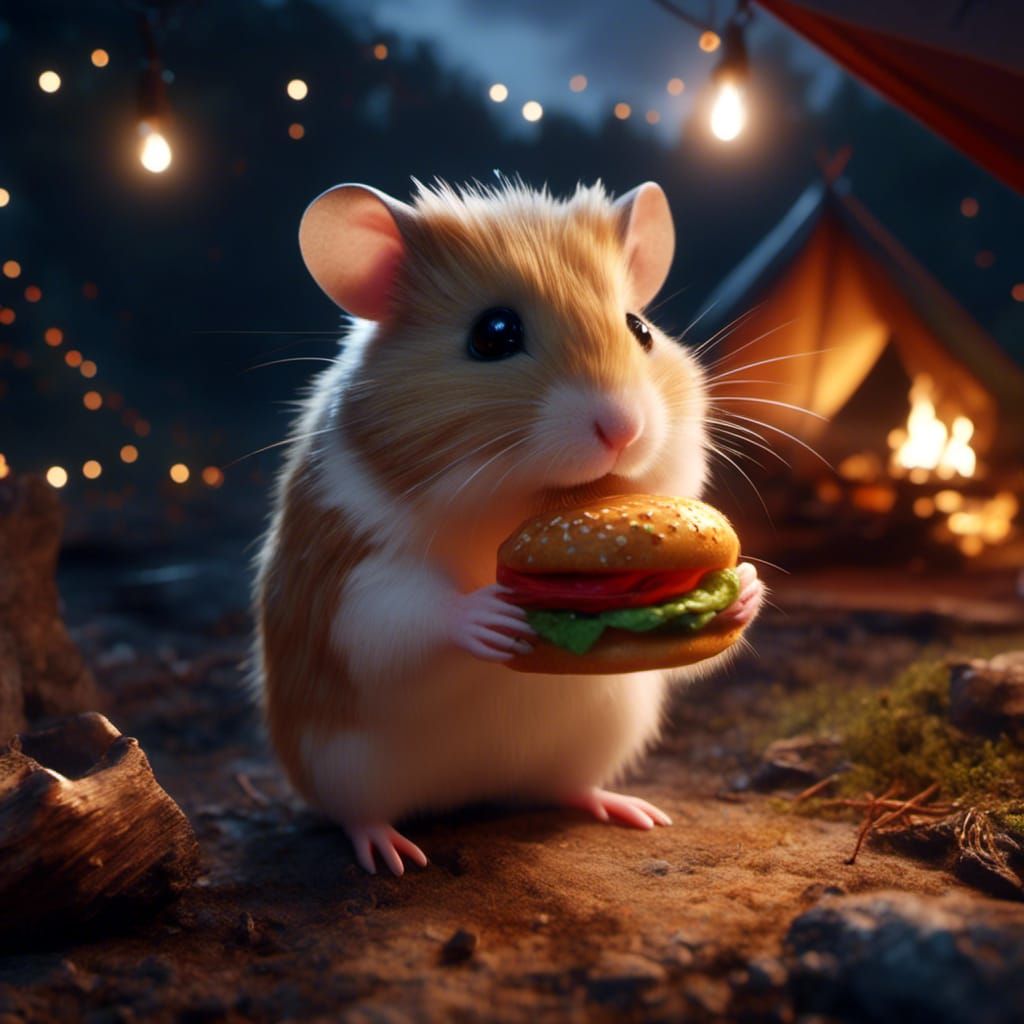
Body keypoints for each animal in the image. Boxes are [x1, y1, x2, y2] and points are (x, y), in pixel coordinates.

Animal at [254, 179, 764, 876]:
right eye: (493, 334)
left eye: (640, 328)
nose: (623, 429)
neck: (516, 504)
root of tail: (473, 793)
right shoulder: (354, 573)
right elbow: (402, 615)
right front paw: (493, 614)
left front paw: (747, 589)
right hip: (340, 766)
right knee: (356, 814)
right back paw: (392, 853)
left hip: (602, 732)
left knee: (564, 788)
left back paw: (630, 810)